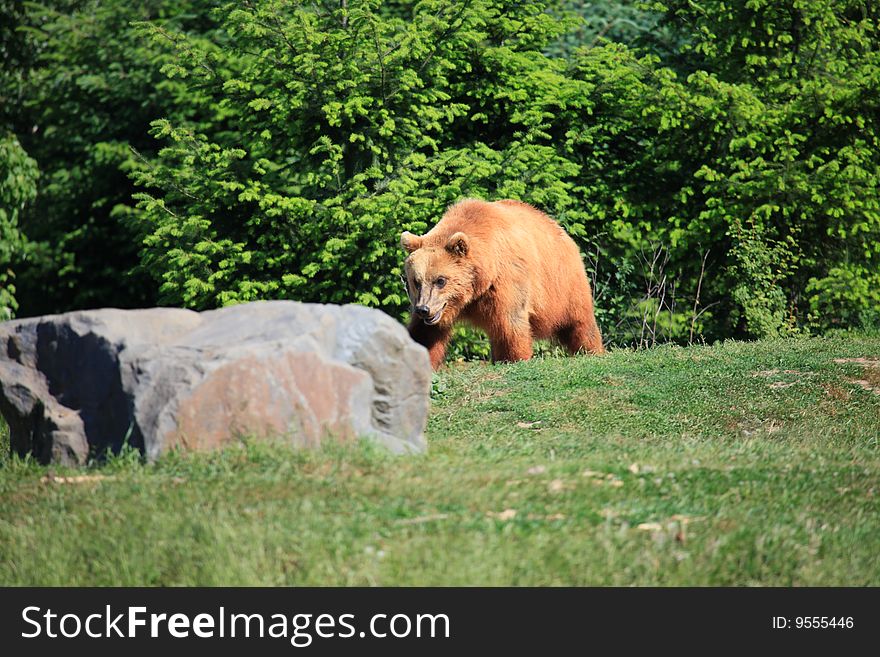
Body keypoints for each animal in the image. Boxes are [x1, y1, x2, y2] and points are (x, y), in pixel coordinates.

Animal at [400, 197, 600, 368]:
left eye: (440, 280)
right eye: (416, 281)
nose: (424, 309)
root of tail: (563, 231)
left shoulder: (506, 280)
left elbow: (510, 323)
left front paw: (514, 358)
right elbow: (425, 333)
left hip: (564, 284)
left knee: (580, 323)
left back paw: (591, 350)